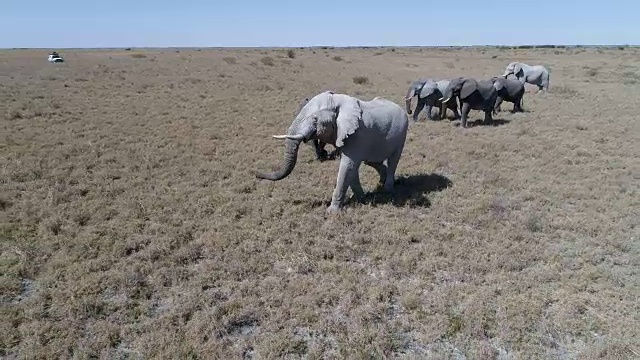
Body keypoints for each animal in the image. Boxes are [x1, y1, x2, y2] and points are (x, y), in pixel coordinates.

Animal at [256, 90, 410, 214]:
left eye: (315, 119)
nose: (257, 175)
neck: (339, 102)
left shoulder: (357, 135)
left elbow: (347, 165)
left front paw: (332, 212)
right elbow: (351, 169)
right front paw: (362, 199)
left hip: (402, 133)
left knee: (394, 160)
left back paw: (388, 189)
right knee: (372, 161)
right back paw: (383, 181)